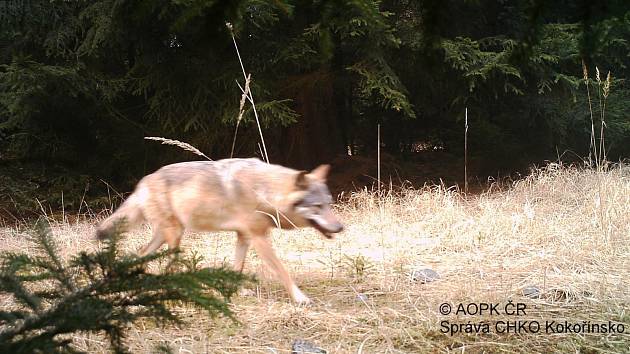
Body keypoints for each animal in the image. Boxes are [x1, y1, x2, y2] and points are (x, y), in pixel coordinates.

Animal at [96, 158, 346, 304]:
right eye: (317, 207)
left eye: (329, 204)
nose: (340, 227)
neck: (265, 191)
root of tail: (144, 181)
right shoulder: (259, 237)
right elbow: (282, 271)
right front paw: (300, 298)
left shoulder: (244, 237)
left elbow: (237, 268)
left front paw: (236, 292)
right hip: (175, 236)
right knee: (165, 264)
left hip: (165, 236)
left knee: (140, 253)